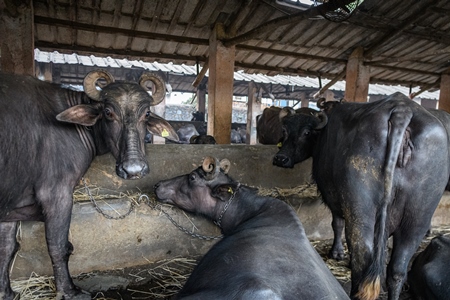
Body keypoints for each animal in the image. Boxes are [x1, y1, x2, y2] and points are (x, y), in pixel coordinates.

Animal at [0, 69, 179, 298]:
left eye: (146, 114)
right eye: (108, 112)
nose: (134, 170)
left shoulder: (11, 206)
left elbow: (6, 248)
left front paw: (6, 293)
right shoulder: (57, 194)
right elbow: (59, 245)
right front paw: (69, 291)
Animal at [272, 92, 448, 300]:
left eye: (306, 132)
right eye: (285, 130)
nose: (280, 158)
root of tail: (401, 111)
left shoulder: (332, 196)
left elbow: (337, 223)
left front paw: (337, 253)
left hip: (360, 209)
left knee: (361, 257)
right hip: (418, 217)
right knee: (397, 269)